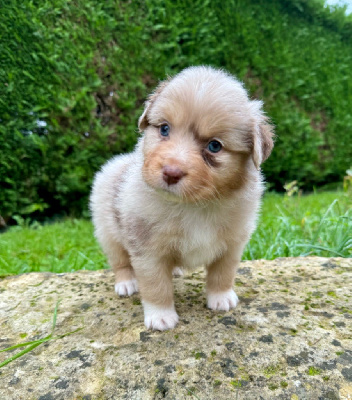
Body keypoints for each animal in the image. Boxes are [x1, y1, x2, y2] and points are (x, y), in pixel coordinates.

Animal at [89, 66, 274, 332]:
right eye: (164, 129)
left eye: (214, 146)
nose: (171, 172)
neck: (194, 205)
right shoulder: (148, 251)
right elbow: (156, 286)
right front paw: (161, 316)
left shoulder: (233, 243)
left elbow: (223, 273)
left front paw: (221, 298)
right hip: (108, 233)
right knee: (120, 261)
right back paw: (126, 283)